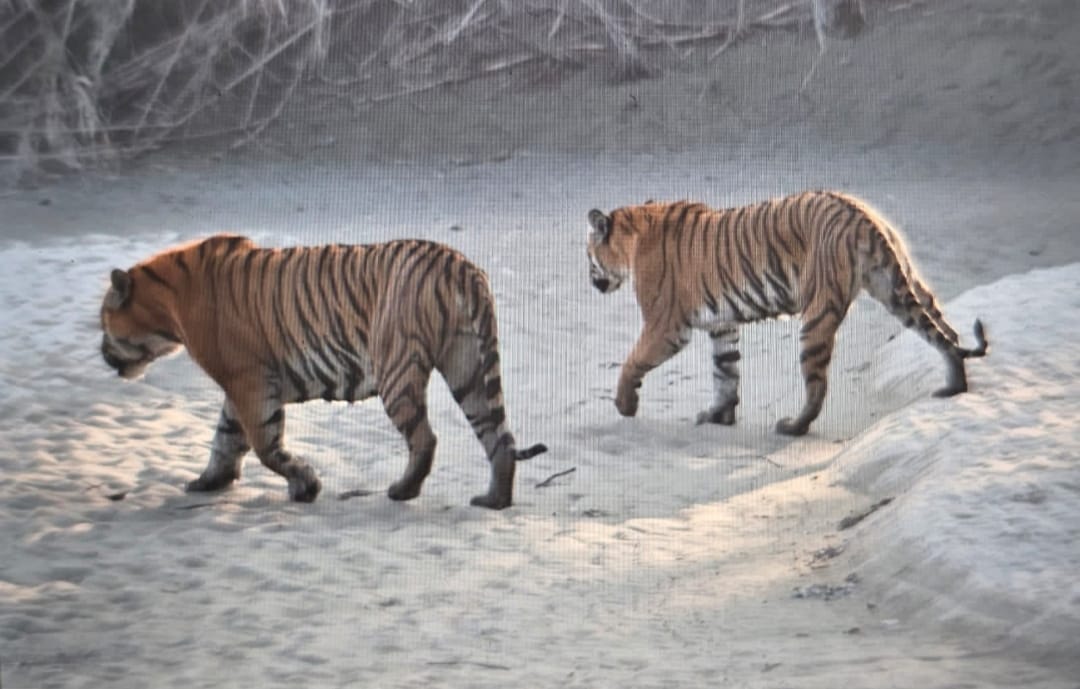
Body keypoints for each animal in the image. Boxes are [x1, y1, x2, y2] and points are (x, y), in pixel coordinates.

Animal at [99, 234, 547, 509]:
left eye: (104, 321)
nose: (102, 354)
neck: (168, 307)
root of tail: (460, 265)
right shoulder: (240, 386)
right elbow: (225, 439)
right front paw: (208, 482)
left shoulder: (249, 380)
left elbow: (264, 445)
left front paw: (306, 485)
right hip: (467, 363)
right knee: (499, 436)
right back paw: (494, 500)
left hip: (397, 368)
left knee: (425, 438)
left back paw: (403, 491)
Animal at [586, 190, 989, 436]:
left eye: (588, 255)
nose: (592, 283)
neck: (635, 233)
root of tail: (863, 217)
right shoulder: (722, 325)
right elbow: (725, 373)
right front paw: (719, 415)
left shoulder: (665, 325)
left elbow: (632, 362)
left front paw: (625, 405)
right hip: (897, 289)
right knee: (946, 335)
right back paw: (954, 387)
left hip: (817, 314)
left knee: (818, 385)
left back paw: (793, 426)